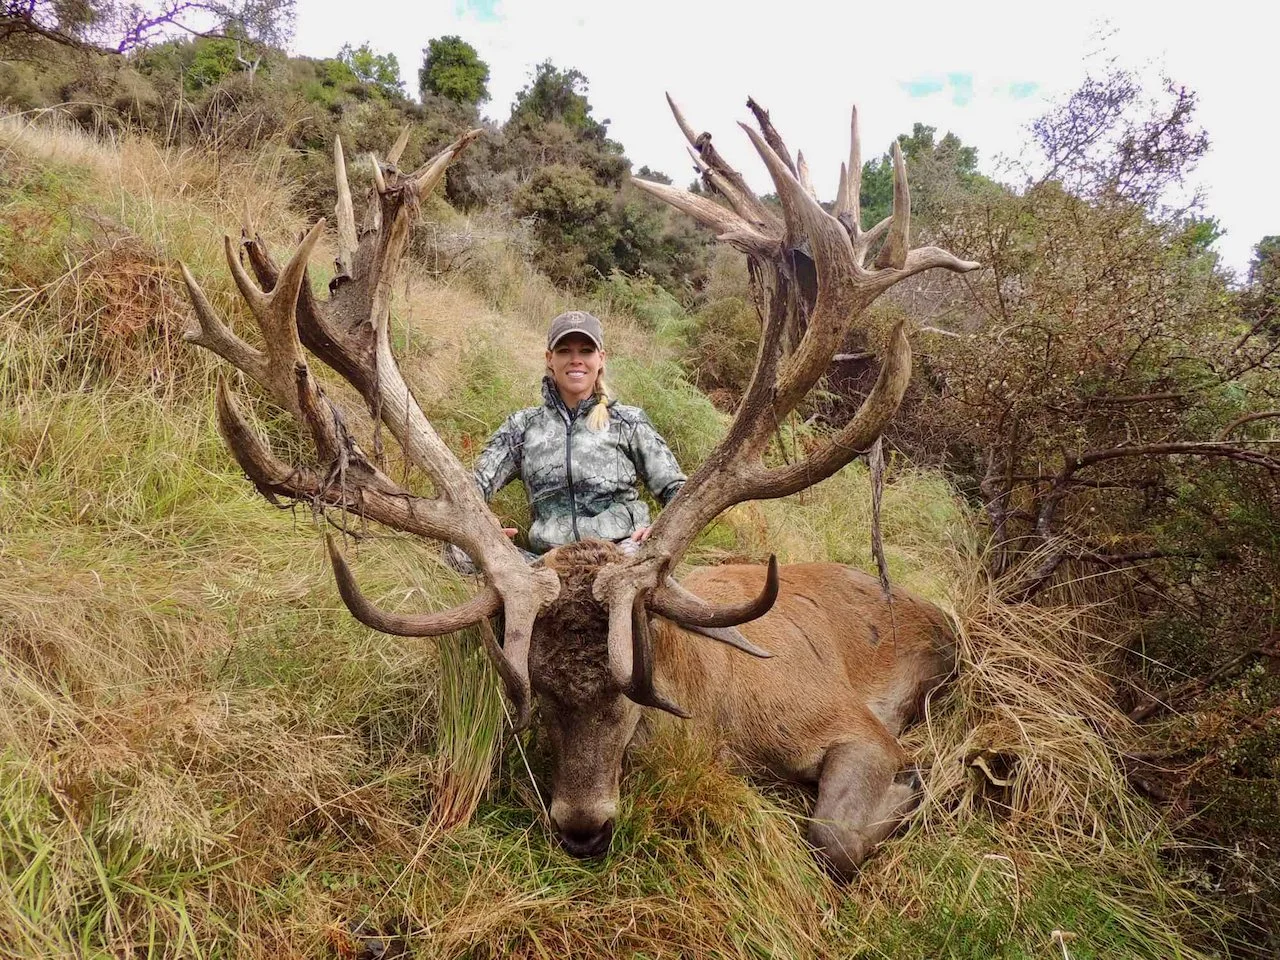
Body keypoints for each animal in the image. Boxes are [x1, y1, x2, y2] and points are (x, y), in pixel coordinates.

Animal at [178, 98, 979, 878]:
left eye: (630, 701)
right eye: (537, 695)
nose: (582, 827)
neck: (715, 711)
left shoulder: (850, 722)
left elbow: (833, 839)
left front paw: (912, 789)